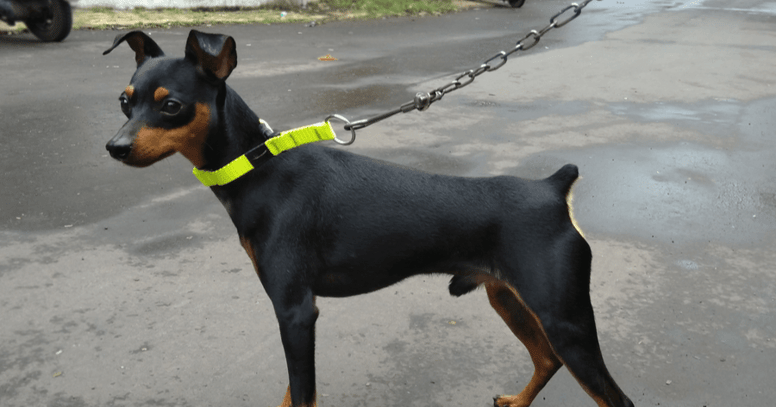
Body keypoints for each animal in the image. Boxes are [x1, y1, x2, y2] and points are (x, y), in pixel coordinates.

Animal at [101, 29, 632, 407]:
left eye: (172, 105)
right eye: (125, 101)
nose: (115, 147)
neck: (259, 165)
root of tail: (553, 187)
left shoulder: (295, 311)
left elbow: (303, 395)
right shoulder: (294, 315)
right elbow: (291, 393)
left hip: (565, 319)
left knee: (612, 396)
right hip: (507, 298)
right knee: (545, 360)